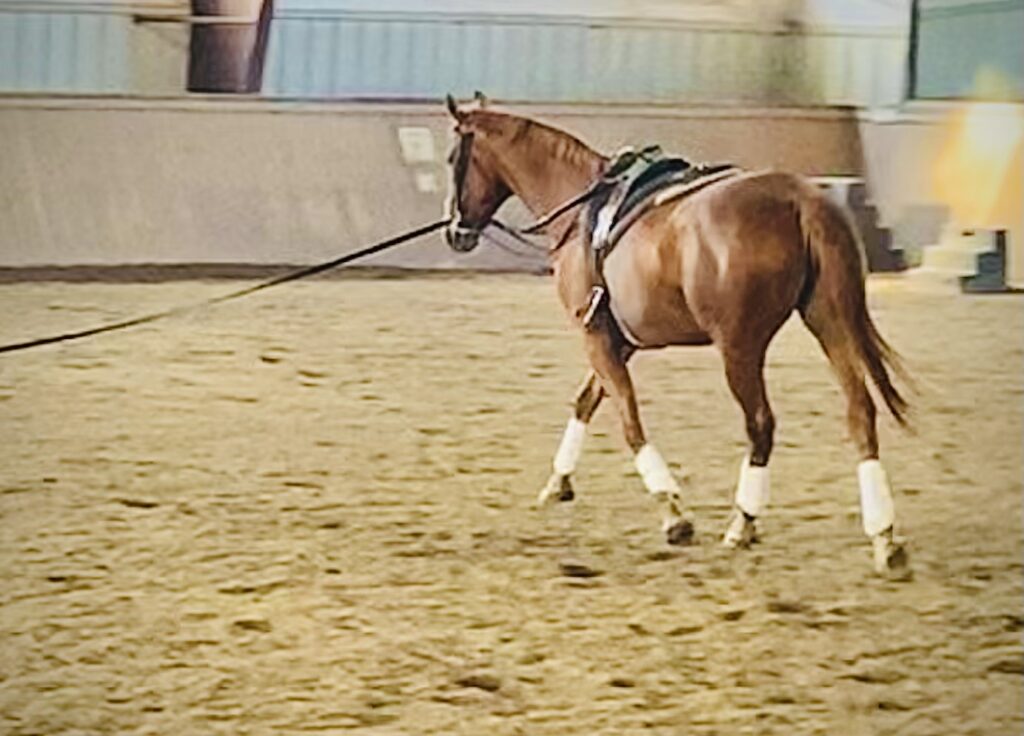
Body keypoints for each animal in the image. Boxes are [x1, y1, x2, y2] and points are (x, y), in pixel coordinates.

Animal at [442, 95, 911, 577]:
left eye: (453, 158)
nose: (456, 232)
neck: (580, 212)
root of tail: (799, 199)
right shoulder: (619, 341)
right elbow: (587, 400)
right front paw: (559, 481)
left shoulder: (594, 334)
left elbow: (629, 421)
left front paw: (673, 511)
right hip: (829, 323)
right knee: (860, 413)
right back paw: (883, 535)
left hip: (740, 347)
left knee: (761, 424)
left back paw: (743, 521)